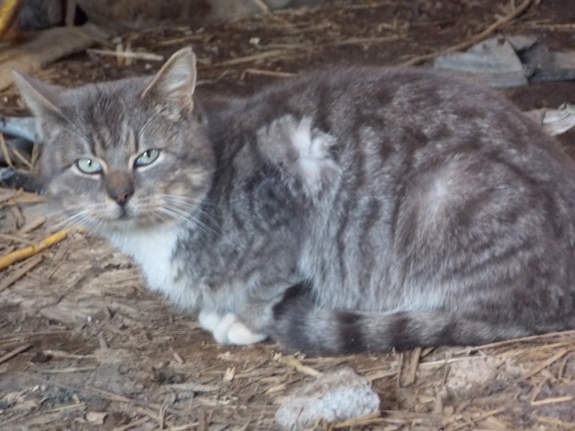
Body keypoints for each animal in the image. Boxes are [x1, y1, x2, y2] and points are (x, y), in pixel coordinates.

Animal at [13, 47, 575, 358]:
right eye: (88, 165)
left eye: (146, 155)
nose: (121, 194)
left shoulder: (293, 183)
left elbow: (269, 276)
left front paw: (240, 319)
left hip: (450, 192)